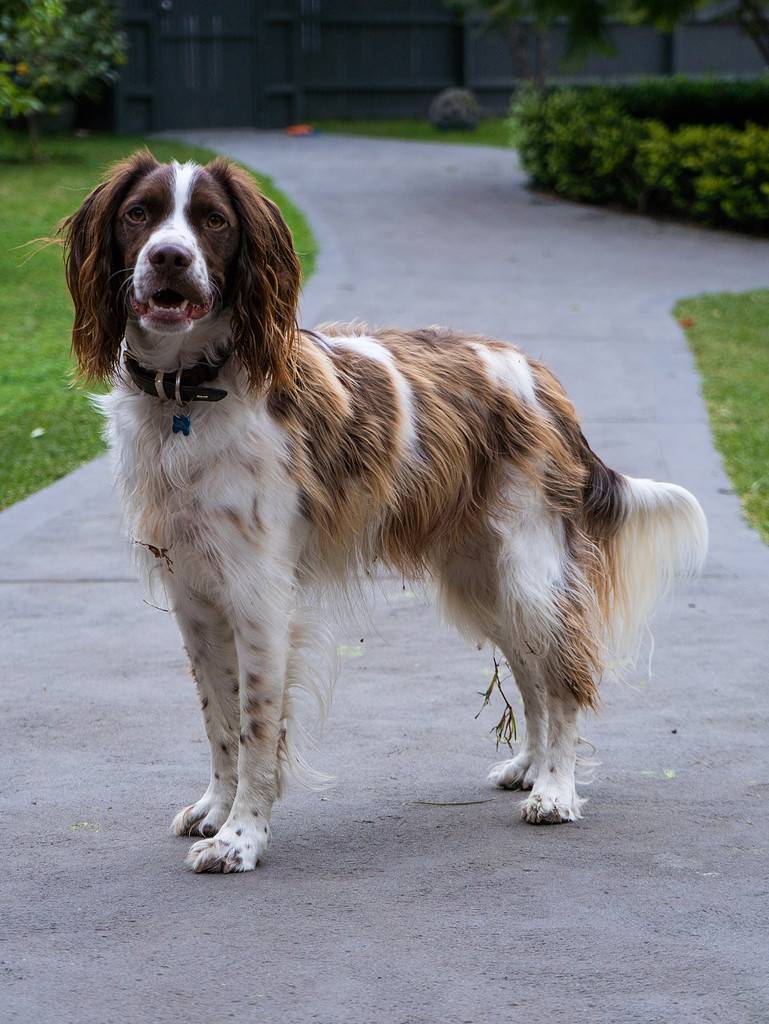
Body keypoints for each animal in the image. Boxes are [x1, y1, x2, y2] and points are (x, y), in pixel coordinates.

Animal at [61, 149, 708, 872]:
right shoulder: (194, 595)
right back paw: (530, 768)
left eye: (213, 220)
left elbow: (257, 729)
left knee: (562, 679)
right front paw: (214, 809)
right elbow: (220, 722)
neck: (189, 398)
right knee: (533, 675)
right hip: (482, 581)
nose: (169, 257)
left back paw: (555, 791)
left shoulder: (259, 596)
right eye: (138, 213)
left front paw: (241, 837)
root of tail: (538, 377)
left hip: (528, 571)